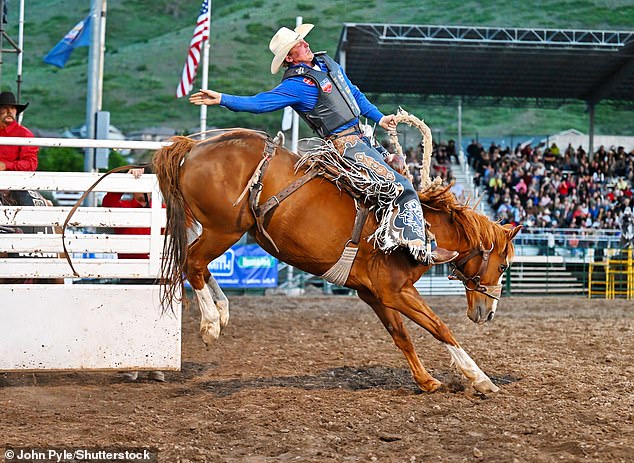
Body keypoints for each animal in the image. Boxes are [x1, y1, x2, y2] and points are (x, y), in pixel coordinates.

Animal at [152, 129, 520, 394]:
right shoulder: (396, 290)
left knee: (196, 264)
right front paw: (479, 377)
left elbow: (400, 335)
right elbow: (439, 326)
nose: (487, 312)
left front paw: (426, 381)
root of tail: (193, 147)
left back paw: (223, 308)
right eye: (503, 267)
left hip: (221, 232)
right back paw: (211, 324)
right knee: (192, 263)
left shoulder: (374, 294)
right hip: (224, 230)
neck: (421, 231)